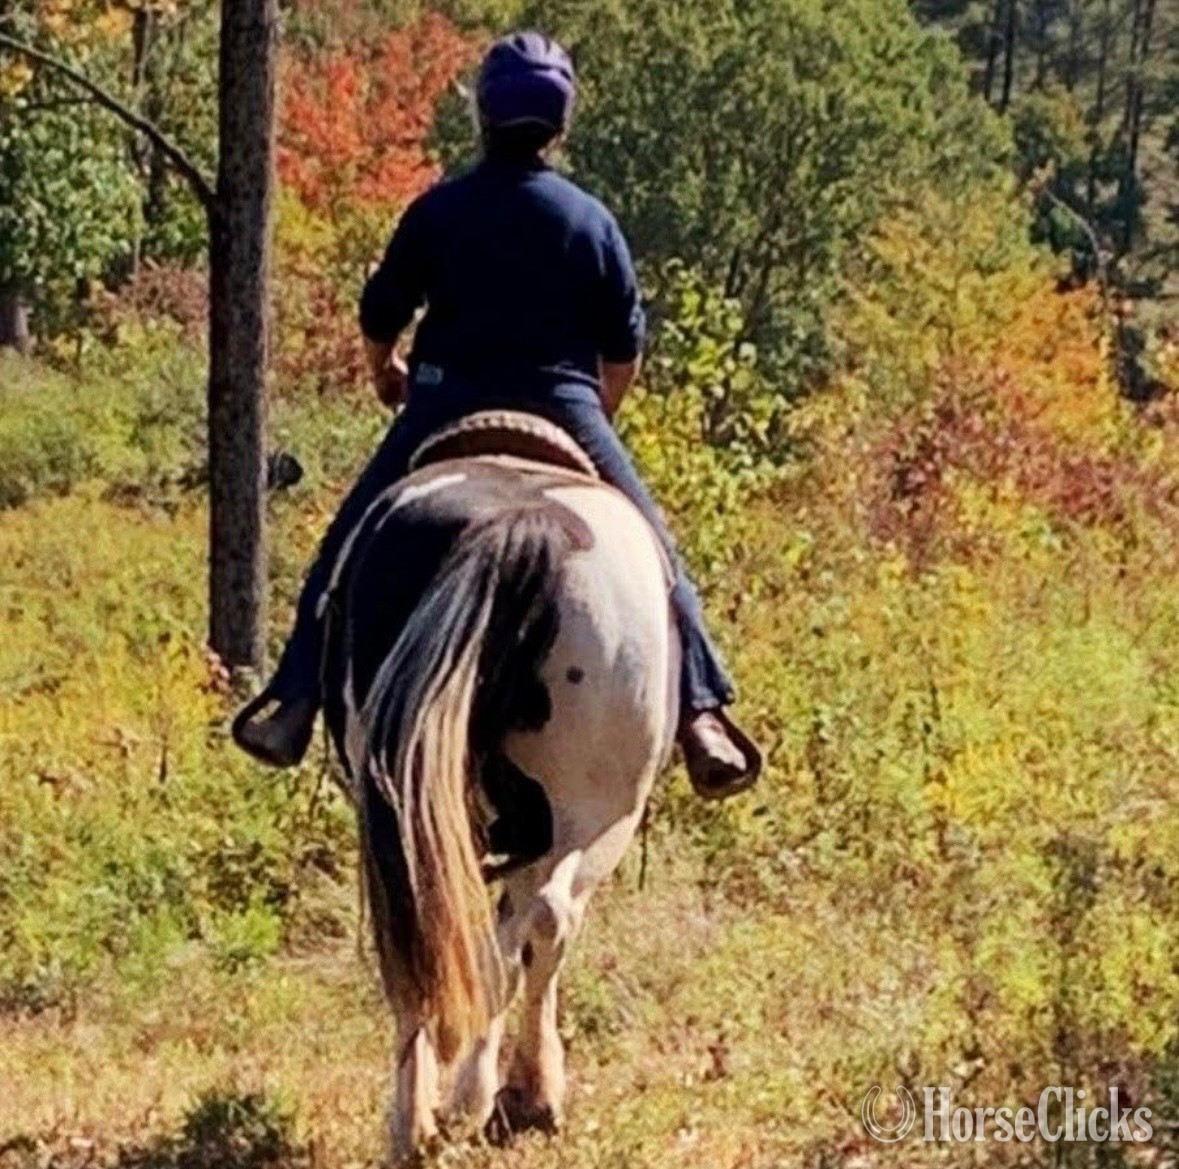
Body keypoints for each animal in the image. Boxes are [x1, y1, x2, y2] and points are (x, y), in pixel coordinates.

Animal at [318, 412, 680, 1161]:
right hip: (599, 814)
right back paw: (508, 1095)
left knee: (421, 937)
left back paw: (416, 1123)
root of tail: (514, 526)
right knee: (544, 920)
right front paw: (503, 1091)